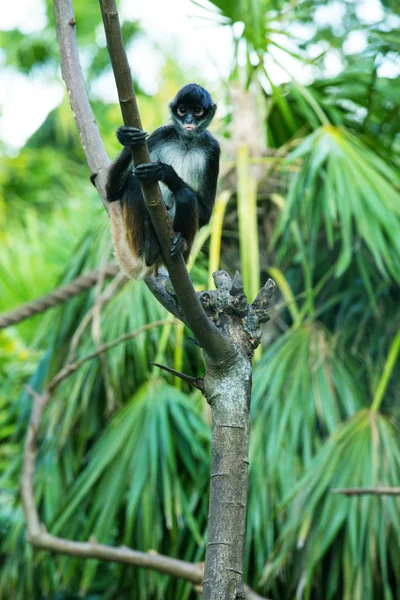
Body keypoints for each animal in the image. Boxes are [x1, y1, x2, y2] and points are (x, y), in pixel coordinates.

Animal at [106, 82, 220, 278]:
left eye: (197, 111)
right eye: (183, 110)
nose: (188, 120)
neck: (186, 142)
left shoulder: (213, 149)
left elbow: (205, 214)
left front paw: (165, 172)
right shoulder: (160, 134)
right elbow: (112, 193)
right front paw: (128, 139)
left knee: (185, 195)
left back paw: (179, 245)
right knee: (134, 181)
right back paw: (150, 247)